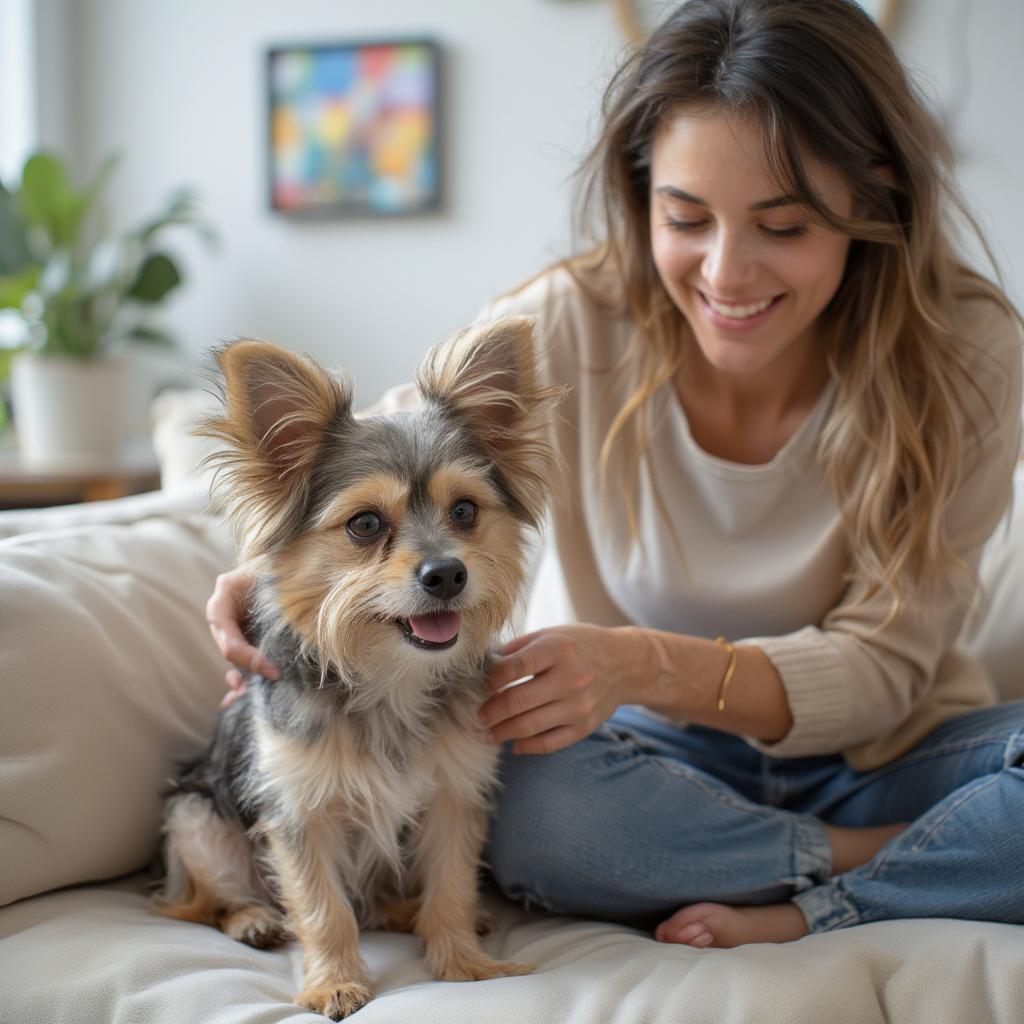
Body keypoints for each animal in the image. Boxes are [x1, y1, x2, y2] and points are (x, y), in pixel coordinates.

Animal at [153, 317, 561, 1015]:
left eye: (465, 512)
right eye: (365, 524)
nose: (447, 574)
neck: (390, 675)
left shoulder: (454, 794)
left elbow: (452, 883)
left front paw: (463, 962)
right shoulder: (298, 811)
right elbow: (322, 908)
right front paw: (336, 982)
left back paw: (408, 912)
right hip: (195, 819)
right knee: (206, 901)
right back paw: (253, 919)